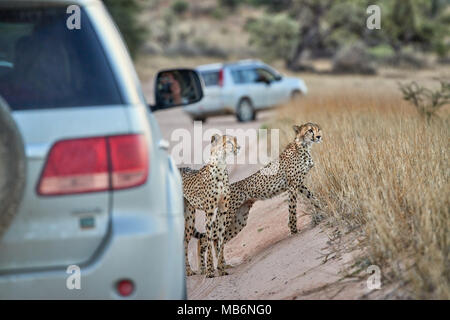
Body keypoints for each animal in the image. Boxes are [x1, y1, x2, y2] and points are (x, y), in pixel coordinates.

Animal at [181, 132, 241, 278]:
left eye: (236, 140)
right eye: (229, 142)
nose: (239, 147)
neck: (221, 166)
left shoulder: (223, 210)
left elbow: (220, 239)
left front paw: (221, 268)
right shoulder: (210, 212)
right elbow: (208, 240)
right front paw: (210, 270)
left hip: (190, 217)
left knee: (185, 240)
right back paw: (189, 271)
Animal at [195, 122, 322, 272]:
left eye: (318, 129)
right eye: (310, 130)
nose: (319, 136)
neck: (304, 146)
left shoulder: (299, 184)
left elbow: (313, 197)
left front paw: (322, 211)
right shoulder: (292, 186)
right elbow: (292, 210)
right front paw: (294, 230)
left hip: (239, 220)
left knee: (218, 240)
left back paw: (222, 264)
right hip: (227, 216)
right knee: (206, 238)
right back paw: (204, 268)